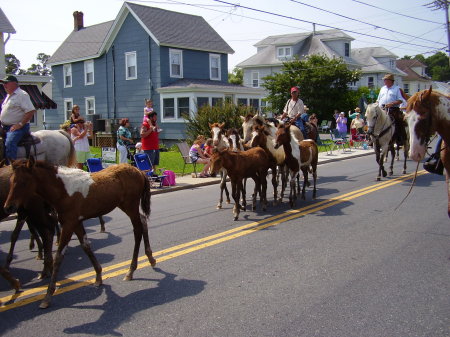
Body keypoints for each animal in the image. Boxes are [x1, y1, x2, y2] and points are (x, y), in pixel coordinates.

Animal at [3, 158, 156, 308]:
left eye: (24, 182)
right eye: (10, 180)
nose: (8, 207)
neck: (63, 191)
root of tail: (139, 171)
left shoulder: (68, 224)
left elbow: (59, 256)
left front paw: (48, 295)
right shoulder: (76, 223)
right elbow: (85, 246)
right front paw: (98, 276)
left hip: (130, 205)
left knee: (138, 229)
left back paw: (131, 271)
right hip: (125, 206)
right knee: (143, 221)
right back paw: (150, 258)